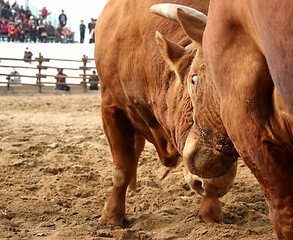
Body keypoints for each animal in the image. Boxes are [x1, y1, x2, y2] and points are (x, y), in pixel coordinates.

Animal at [94, 0, 238, 227]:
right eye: (193, 80)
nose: (216, 174)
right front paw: (112, 216)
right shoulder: (111, 108)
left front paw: (211, 214)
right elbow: (122, 168)